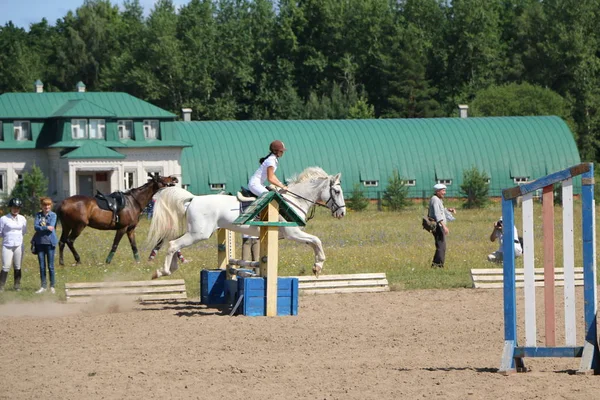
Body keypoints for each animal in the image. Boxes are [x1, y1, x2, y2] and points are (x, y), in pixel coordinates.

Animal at [146, 166, 346, 278]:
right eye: (336, 191)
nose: (342, 213)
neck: (294, 200)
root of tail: (193, 198)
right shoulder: (293, 233)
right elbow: (316, 241)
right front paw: (318, 265)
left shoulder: (293, 234)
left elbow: (314, 243)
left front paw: (316, 267)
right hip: (199, 234)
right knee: (173, 244)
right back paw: (164, 271)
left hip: (194, 232)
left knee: (174, 244)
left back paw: (167, 269)